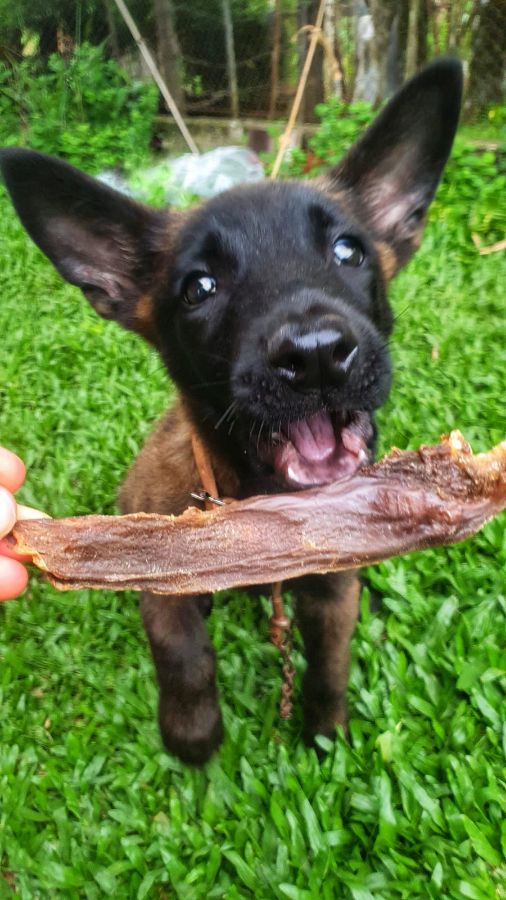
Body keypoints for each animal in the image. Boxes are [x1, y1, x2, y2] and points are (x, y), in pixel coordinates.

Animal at [0, 59, 462, 764]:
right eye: (199, 288)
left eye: (349, 251)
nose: (317, 356)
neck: (264, 509)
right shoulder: (161, 579)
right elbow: (183, 654)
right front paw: (193, 737)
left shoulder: (333, 589)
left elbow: (330, 663)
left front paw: (325, 734)